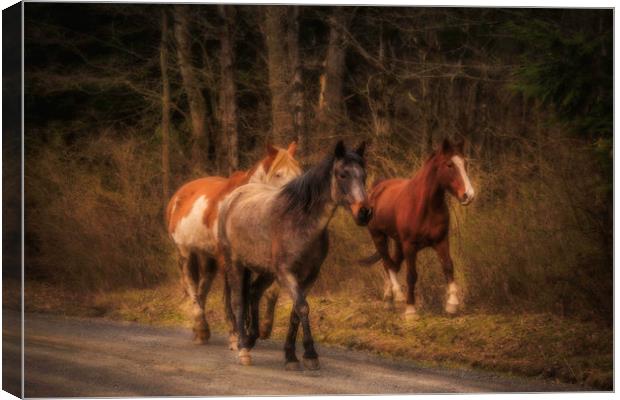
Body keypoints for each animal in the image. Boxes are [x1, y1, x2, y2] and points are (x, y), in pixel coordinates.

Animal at [165, 141, 300, 344]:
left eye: (299, 172)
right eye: (278, 174)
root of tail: (179, 196)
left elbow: (258, 292)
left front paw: (258, 329)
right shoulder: (228, 259)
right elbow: (232, 294)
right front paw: (235, 334)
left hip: (207, 257)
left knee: (203, 287)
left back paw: (200, 330)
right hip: (185, 253)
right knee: (192, 286)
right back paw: (202, 328)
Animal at [358, 139, 474, 320]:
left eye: (465, 163)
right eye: (449, 165)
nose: (468, 195)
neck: (425, 206)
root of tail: (377, 189)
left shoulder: (441, 240)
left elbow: (448, 266)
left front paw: (452, 305)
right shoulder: (410, 245)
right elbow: (412, 275)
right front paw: (411, 310)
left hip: (398, 243)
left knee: (392, 264)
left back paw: (388, 299)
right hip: (379, 237)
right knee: (387, 262)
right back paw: (398, 295)